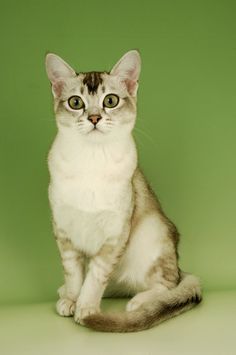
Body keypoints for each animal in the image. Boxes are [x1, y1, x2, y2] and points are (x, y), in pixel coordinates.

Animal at [44, 50, 201, 334]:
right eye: (75, 102)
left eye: (110, 100)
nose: (94, 118)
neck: (91, 161)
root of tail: (178, 264)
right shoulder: (63, 230)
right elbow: (75, 274)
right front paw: (72, 299)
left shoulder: (115, 234)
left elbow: (95, 277)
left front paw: (86, 308)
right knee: (116, 283)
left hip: (152, 233)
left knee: (167, 284)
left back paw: (140, 301)